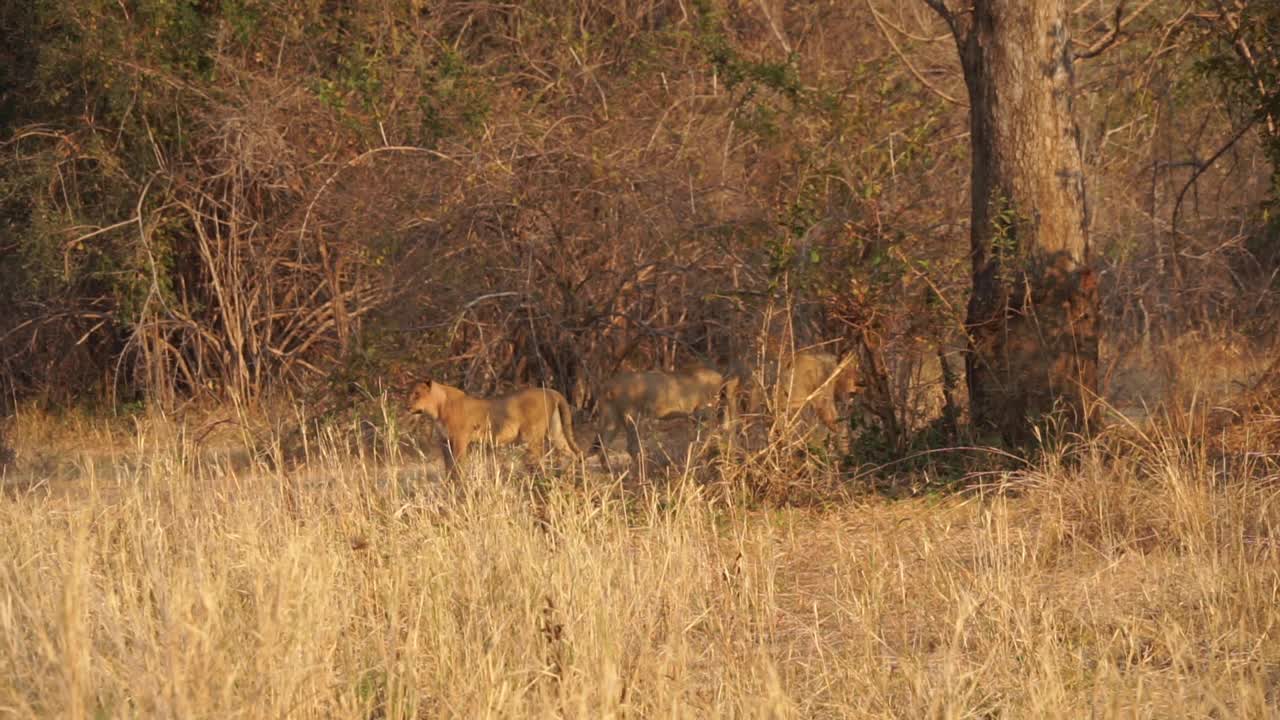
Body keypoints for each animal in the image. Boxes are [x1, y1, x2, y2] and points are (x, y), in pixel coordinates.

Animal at [407, 376, 583, 471]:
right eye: (411, 393)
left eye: (417, 394)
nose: (407, 407)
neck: (437, 409)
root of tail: (552, 391)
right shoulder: (445, 441)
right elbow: (448, 467)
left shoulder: (460, 439)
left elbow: (458, 465)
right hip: (556, 432)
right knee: (571, 453)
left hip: (531, 437)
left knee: (540, 459)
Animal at [591, 363, 732, 458]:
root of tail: (608, 386)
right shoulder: (704, 413)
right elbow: (708, 437)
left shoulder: (698, 417)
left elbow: (700, 439)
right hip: (632, 417)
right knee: (631, 448)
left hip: (613, 419)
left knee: (603, 447)